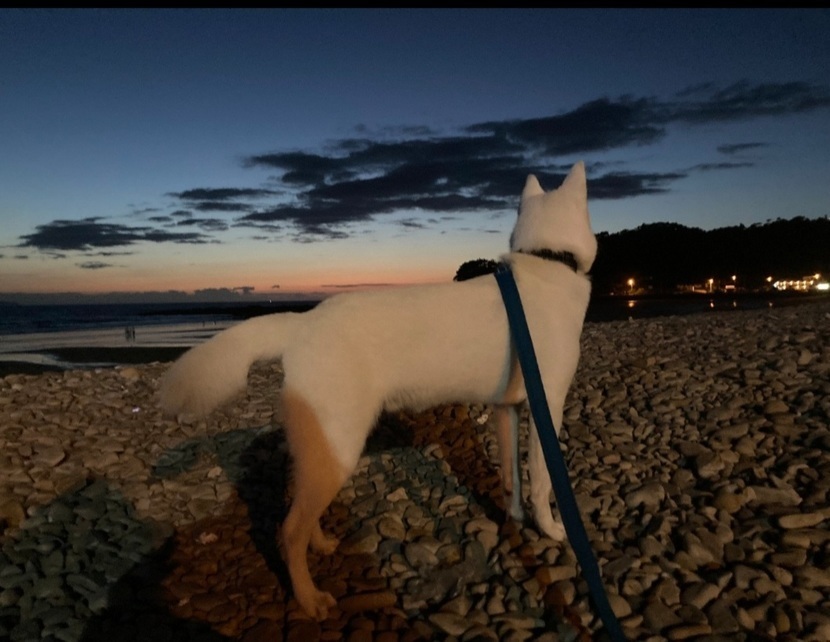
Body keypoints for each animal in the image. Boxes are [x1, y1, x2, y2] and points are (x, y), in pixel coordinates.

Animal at [159, 161, 597, 620]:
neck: (548, 263)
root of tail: (302, 323)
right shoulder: (547, 407)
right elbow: (542, 482)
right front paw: (552, 529)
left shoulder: (505, 410)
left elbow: (511, 476)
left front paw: (515, 518)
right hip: (340, 446)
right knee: (289, 530)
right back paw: (310, 598)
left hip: (320, 447)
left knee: (301, 508)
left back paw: (322, 544)